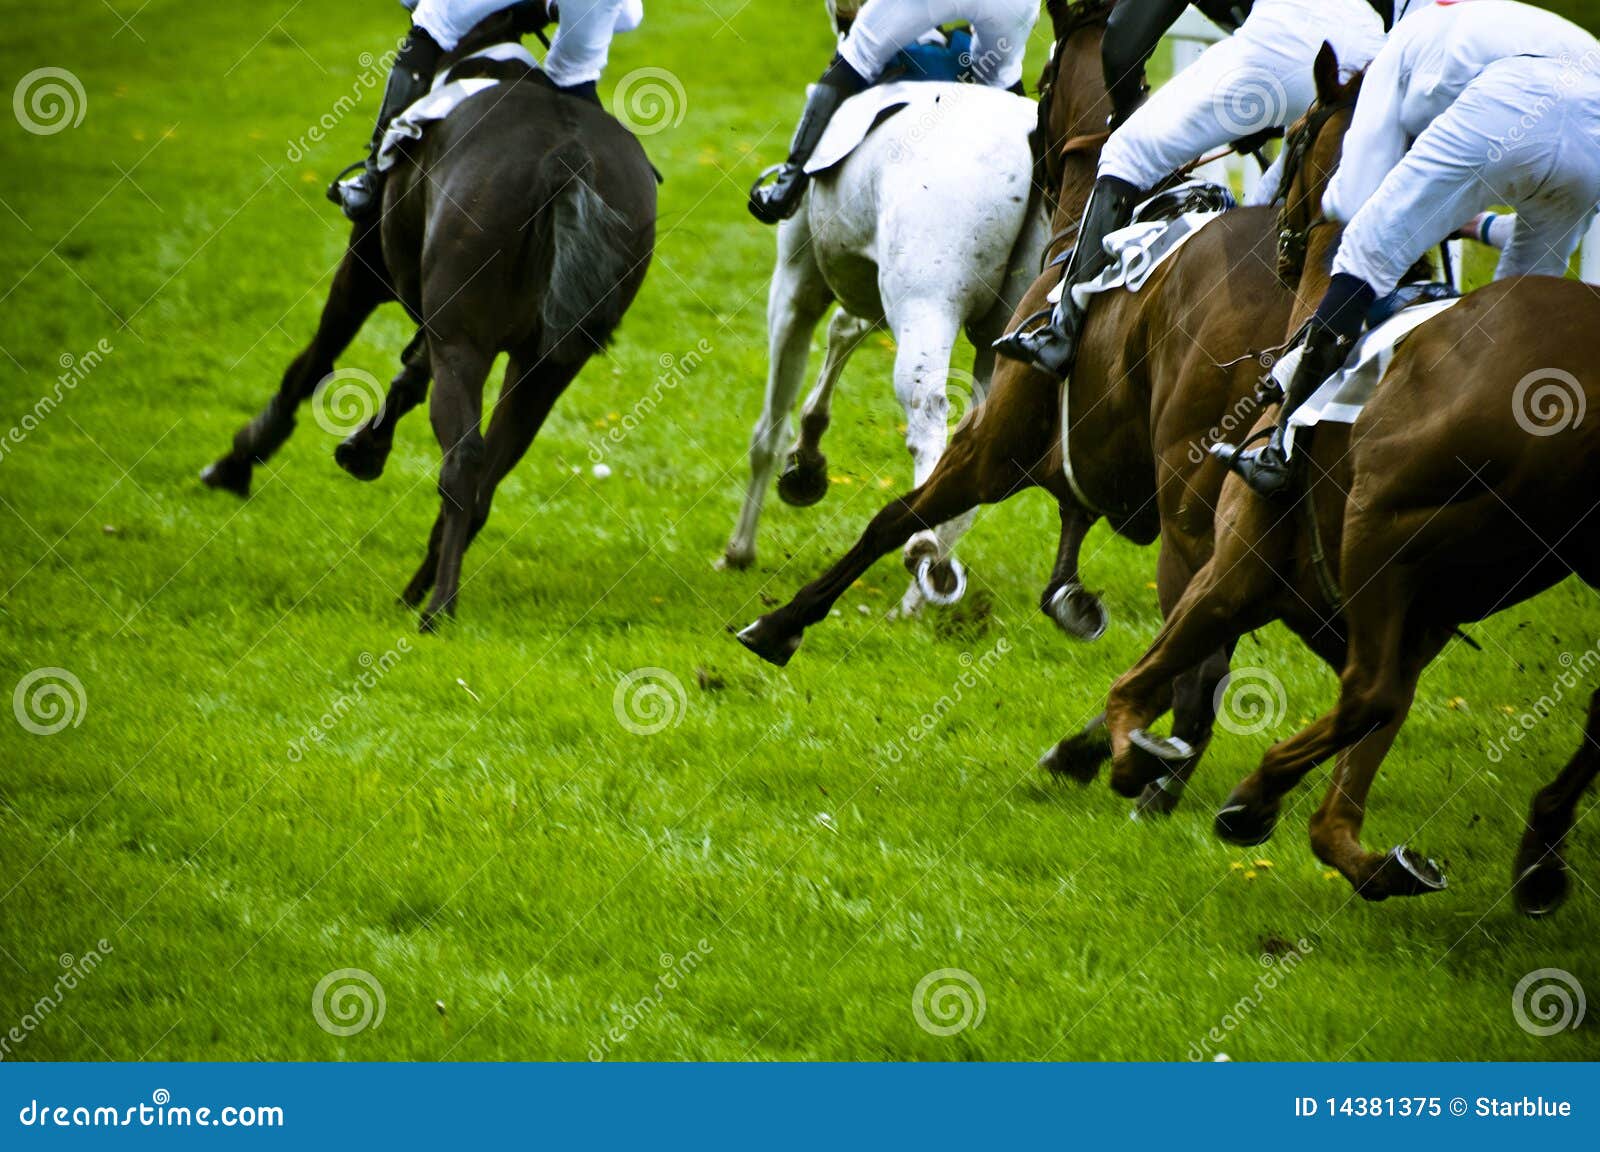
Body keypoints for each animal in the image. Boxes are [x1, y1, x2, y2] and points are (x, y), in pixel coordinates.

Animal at [204, 13, 656, 630]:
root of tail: (568, 159)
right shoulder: (445, 324)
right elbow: (409, 375)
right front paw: (364, 446)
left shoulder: (366, 268)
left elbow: (313, 362)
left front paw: (240, 458)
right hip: (545, 367)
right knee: (488, 475)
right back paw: (418, 590)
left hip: (466, 343)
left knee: (463, 462)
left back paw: (437, 608)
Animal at [720, 82, 1043, 617]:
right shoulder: (867, 297)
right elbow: (841, 338)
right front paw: (806, 462)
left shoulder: (795, 290)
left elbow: (769, 429)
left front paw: (739, 549)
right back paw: (919, 595)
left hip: (924, 310)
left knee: (930, 423)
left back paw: (920, 551)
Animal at [1107, 45, 1600, 915]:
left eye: (1300, 132)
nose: (1274, 230)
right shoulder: (1420, 619)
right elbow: (1348, 789)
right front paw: (1366, 857)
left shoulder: (1232, 575)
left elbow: (1133, 690)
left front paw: (1140, 760)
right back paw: (1539, 856)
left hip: (1381, 521)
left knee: (1368, 689)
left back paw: (1255, 792)